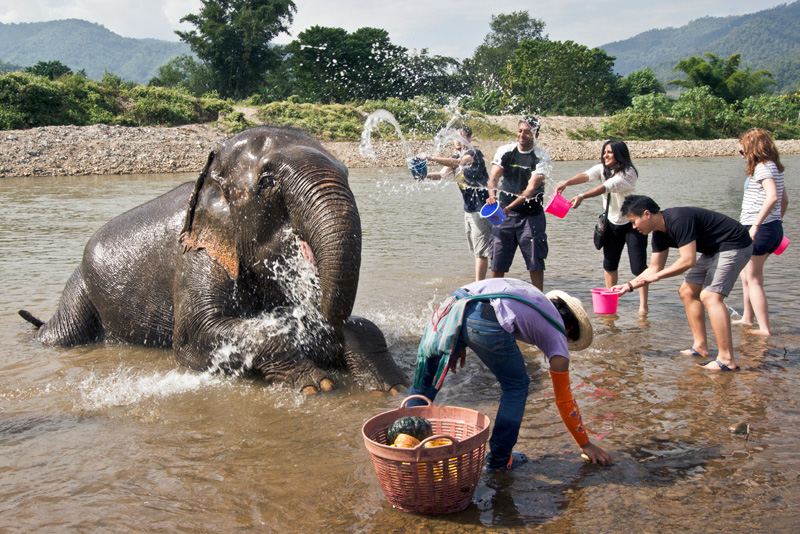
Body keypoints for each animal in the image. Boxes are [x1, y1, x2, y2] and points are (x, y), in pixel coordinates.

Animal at [21, 125, 410, 394]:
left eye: (347, 173)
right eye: (267, 182)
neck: (209, 175)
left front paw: (393, 384)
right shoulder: (195, 258)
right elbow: (195, 335)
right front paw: (316, 384)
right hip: (79, 288)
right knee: (62, 334)